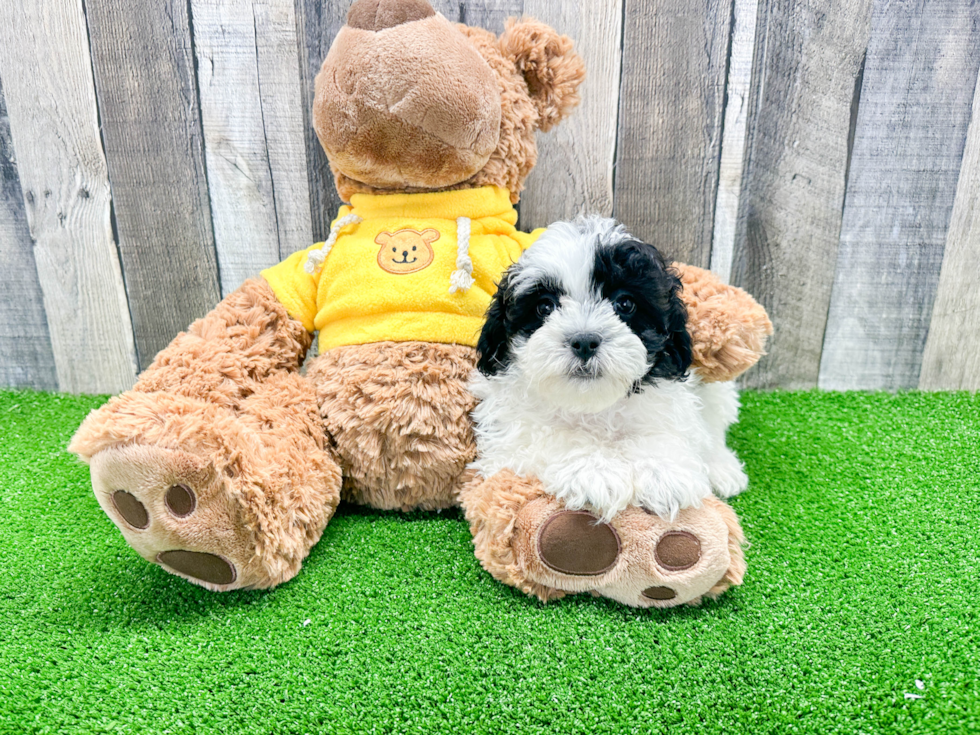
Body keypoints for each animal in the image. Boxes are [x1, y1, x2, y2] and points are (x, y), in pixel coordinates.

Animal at [470, 216, 748, 520]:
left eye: (624, 303)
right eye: (544, 307)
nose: (584, 341)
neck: (591, 405)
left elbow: (665, 432)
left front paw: (662, 473)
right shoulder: (508, 435)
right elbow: (548, 436)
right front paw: (594, 470)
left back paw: (722, 468)